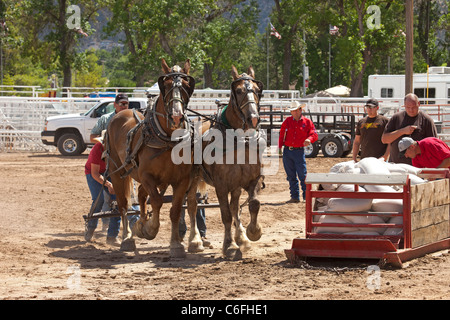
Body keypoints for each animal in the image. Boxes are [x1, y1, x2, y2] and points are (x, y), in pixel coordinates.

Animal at [106, 58, 201, 258]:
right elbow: (156, 201)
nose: (176, 116)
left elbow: (174, 210)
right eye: (166, 85)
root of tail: (121, 113)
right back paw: (127, 238)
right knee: (123, 204)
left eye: (187, 85)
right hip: (117, 172)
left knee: (142, 194)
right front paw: (150, 229)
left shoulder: (182, 179)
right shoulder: (147, 176)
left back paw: (140, 224)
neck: (167, 141)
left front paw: (176, 244)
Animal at [190, 65, 268, 260]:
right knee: (192, 206)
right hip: (191, 179)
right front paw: (230, 246)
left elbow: (253, 204)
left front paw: (253, 232)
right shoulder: (221, 185)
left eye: (257, 90)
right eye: (239, 91)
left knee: (234, 207)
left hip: (236, 185)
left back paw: (242, 238)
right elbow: (225, 215)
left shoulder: (252, 179)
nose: (253, 118)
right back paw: (195, 241)